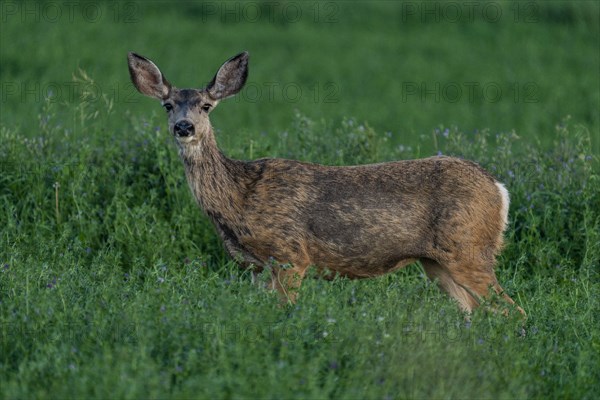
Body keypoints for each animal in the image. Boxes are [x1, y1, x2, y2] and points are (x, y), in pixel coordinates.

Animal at [127, 51, 524, 318]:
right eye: (167, 105)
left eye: (207, 106)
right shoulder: (257, 267)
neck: (239, 196)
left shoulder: (290, 255)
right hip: (438, 262)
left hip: (468, 248)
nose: (184, 127)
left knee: (512, 311)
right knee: (475, 312)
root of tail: (499, 189)